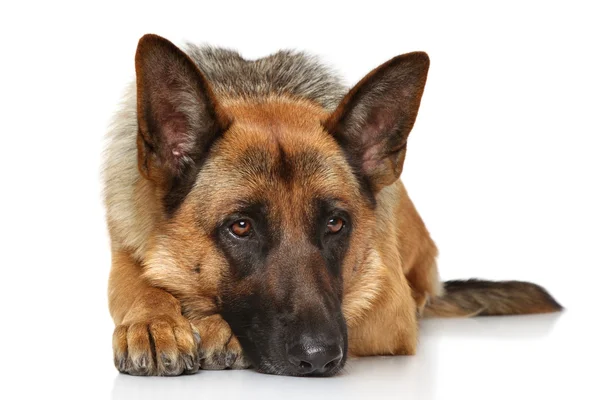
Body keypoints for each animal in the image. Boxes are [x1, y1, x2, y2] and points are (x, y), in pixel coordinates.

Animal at [104, 34, 564, 378]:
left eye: (336, 223)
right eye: (241, 226)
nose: (319, 356)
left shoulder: (387, 309)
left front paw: (213, 326)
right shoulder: (124, 252)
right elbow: (135, 283)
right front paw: (154, 322)